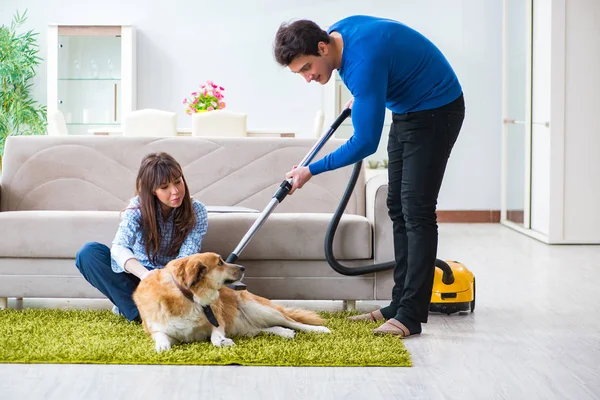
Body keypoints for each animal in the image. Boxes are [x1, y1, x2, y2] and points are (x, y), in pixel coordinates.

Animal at [131, 253, 330, 350]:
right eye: (220, 263)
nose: (243, 267)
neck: (188, 296)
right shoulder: (158, 328)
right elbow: (161, 335)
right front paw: (161, 346)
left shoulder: (218, 321)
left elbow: (215, 337)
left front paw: (222, 342)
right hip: (243, 327)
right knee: (264, 328)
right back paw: (284, 333)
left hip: (258, 309)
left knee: (291, 321)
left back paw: (318, 330)